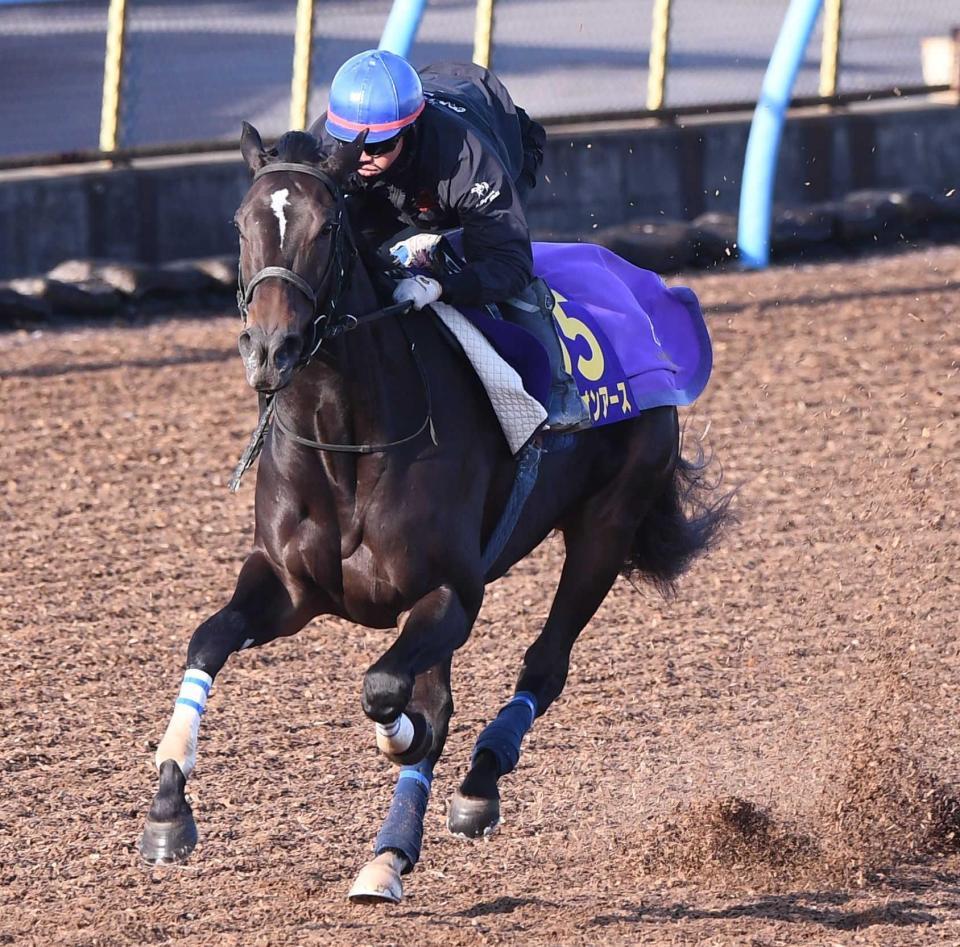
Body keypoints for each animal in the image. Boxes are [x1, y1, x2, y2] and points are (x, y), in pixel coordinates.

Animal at [137, 126, 728, 904]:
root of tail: (652, 288)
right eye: (241, 224)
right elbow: (207, 641)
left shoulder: (452, 590)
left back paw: (465, 792)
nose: (269, 351)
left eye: (328, 227)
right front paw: (168, 805)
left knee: (543, 664)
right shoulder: (289, 587)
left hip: (607, 524)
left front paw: (403, 740)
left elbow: (389, 694)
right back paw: (391, 852)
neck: (348, 441)